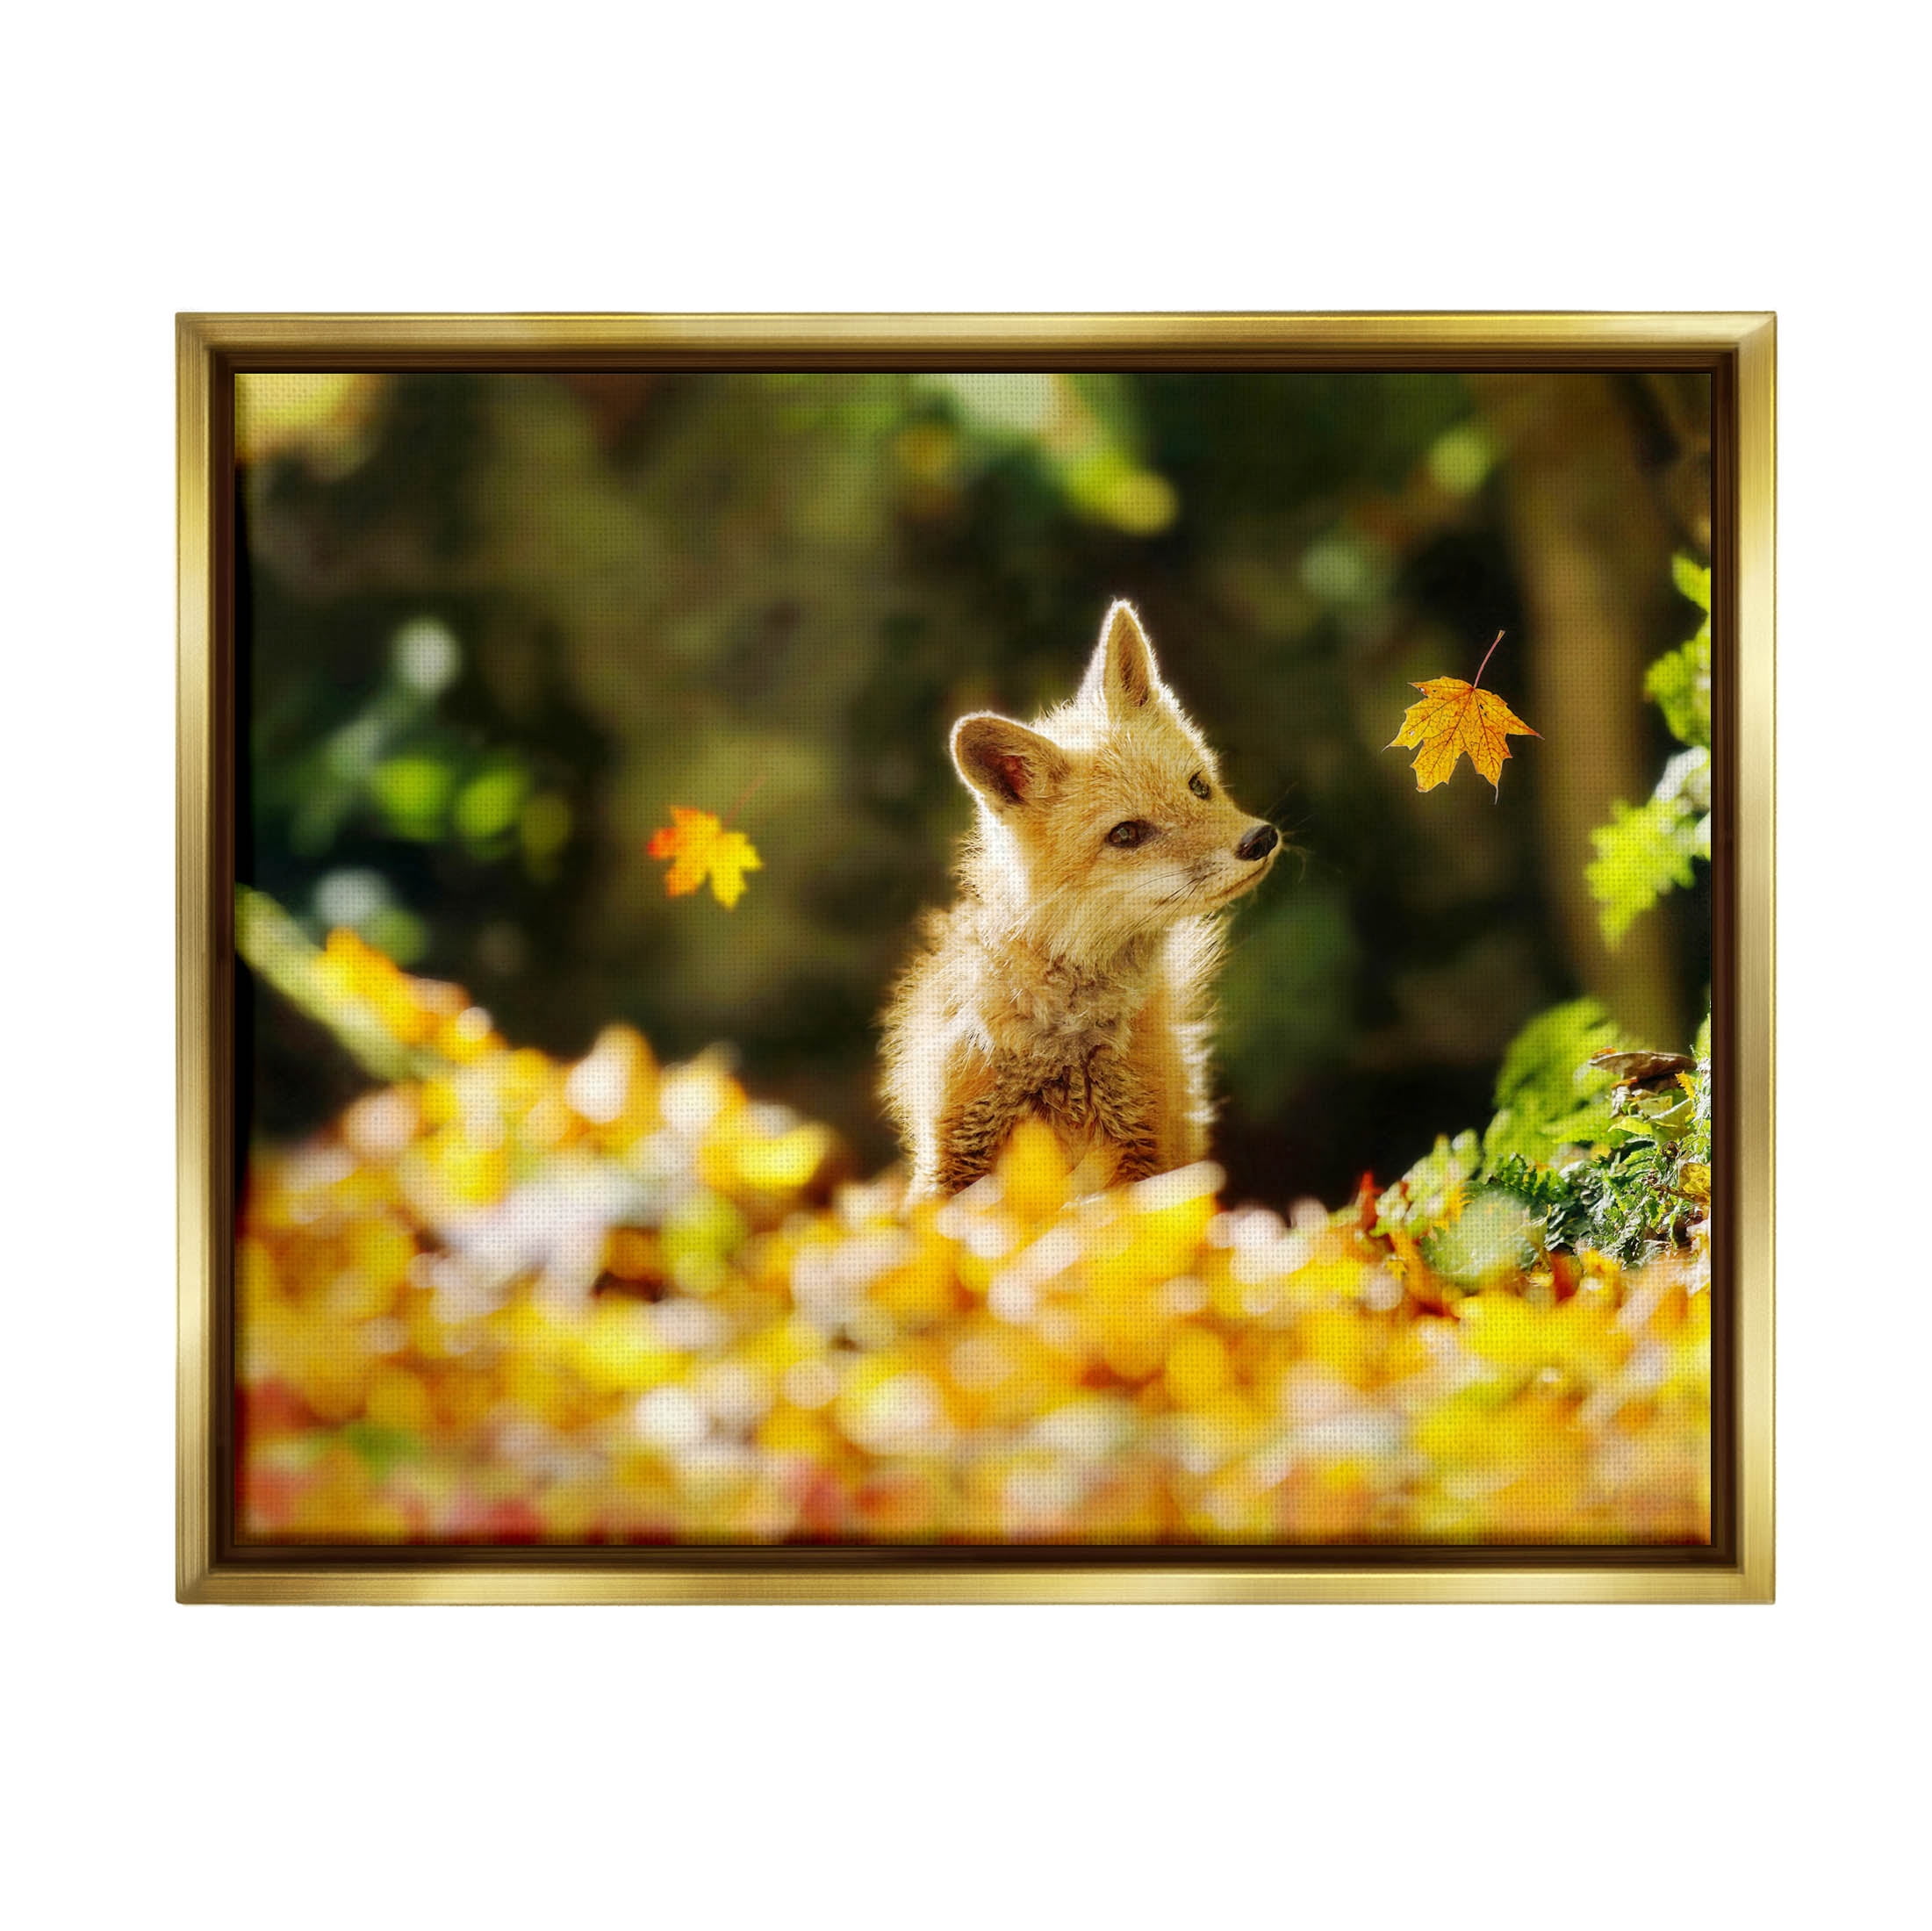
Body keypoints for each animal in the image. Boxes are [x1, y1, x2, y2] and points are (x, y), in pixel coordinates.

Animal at [882, 600, 1280, 1200]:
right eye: (1126, 834)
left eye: (1198, 787)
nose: (1260, 840)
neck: (1064, 1046)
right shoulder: (953, 1151)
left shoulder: (1144, 1153)